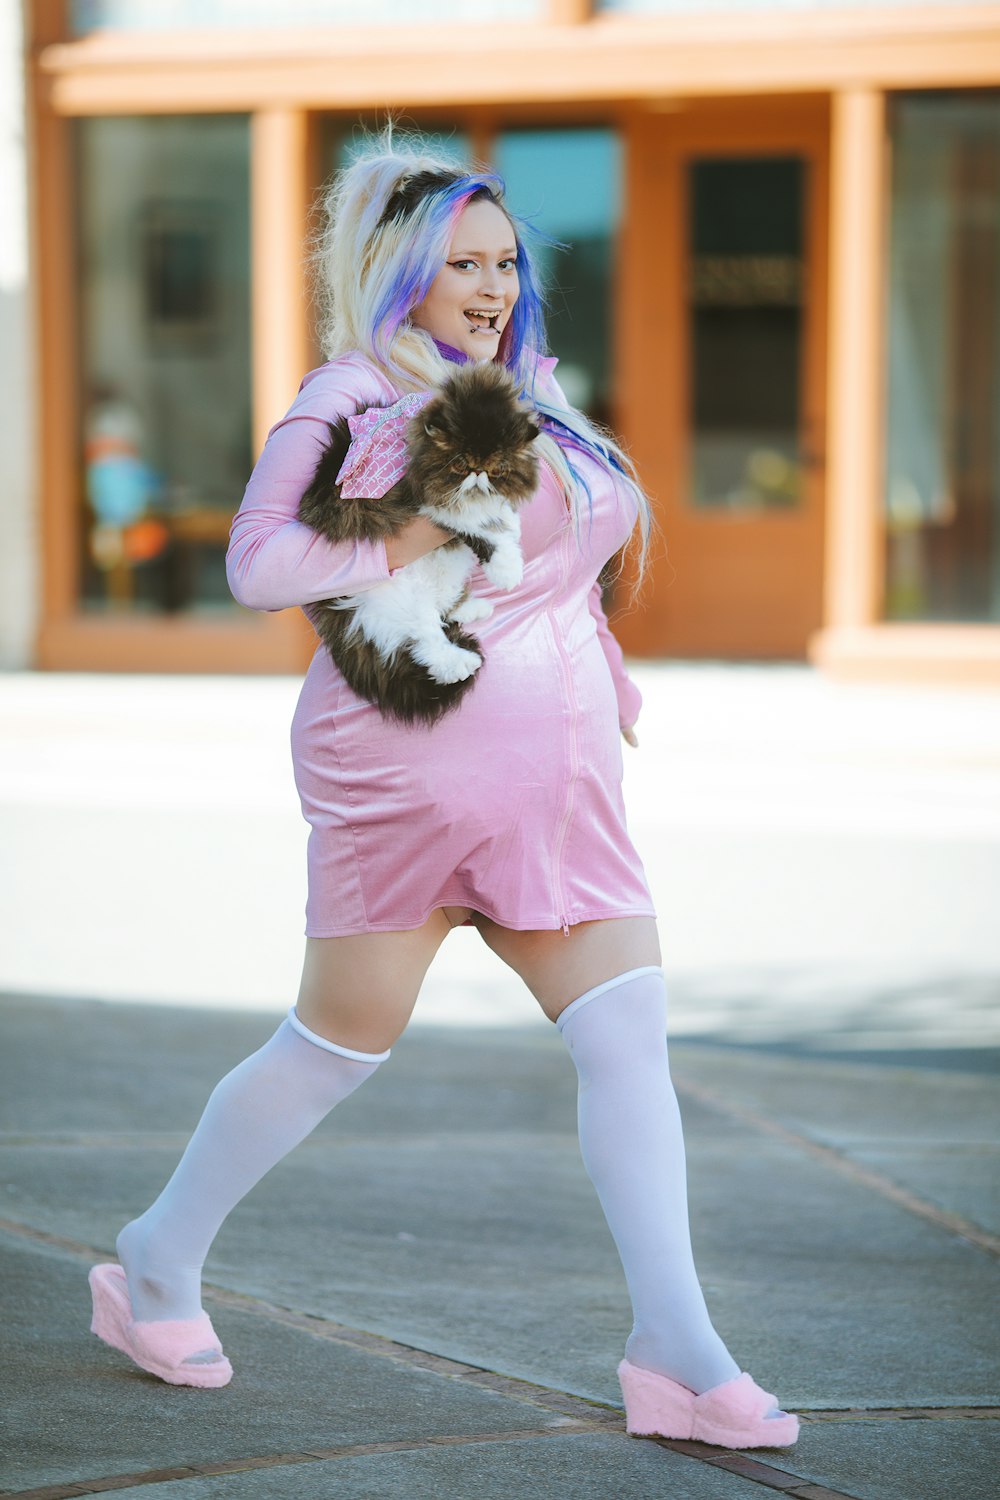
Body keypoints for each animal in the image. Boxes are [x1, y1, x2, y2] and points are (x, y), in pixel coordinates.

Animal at [299, 357, 539, 720]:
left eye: (497, 469)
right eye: (461, 465)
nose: (478, 474)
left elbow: (494, 516)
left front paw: (510, 522)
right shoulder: (424, 501)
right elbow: (479, 525)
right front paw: (507, 569)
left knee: (442, 611)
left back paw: (473, 608)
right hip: (400, 594)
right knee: (425, 641)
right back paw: (460, 663)